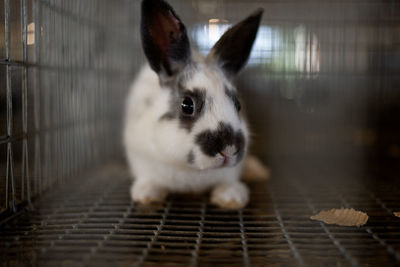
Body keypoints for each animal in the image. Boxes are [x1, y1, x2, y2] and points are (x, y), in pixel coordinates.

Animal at [123, 0, 268, 210]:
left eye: (238, 103)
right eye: (187, 105)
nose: (229, 149)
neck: (193, 170)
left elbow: (229, 181)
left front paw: (231, 198)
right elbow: (149, 179)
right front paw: (147, 195)